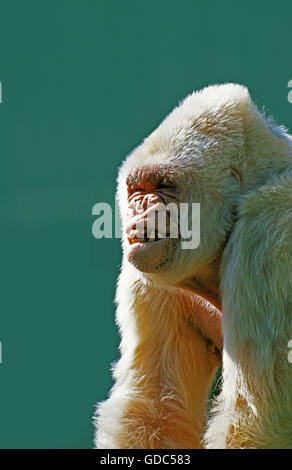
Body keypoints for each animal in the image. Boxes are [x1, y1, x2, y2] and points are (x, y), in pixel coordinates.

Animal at [94, 83, 292, 448]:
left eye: (165, 187)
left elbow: (258, 421)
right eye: (137, 189)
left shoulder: (268, 232)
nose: (141, 206)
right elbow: (155, 406)